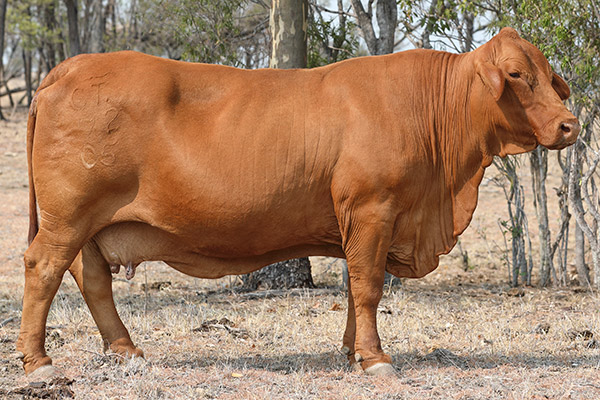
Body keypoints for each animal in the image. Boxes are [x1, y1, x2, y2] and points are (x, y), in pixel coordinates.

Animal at [18, 28, 580, 378]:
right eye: (516, 74)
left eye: (549, 73)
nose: (569, 125)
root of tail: (69, 68)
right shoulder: (373, 210)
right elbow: (369, 287)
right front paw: (376, 359)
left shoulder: (362, 224)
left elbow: (354, 288)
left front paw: (352, 353)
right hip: (67, 216)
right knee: (44, 268)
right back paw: (38, 362)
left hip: (89, 225)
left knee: (91, 279)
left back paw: (126, 350)